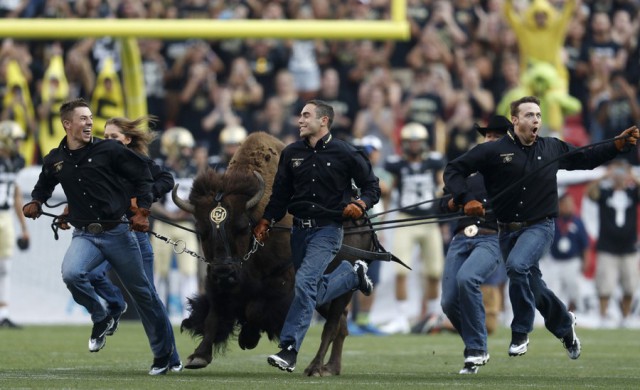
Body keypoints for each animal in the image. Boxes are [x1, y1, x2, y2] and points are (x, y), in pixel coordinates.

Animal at [172, 133, 398, 376]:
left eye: (241, 227)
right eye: (201, 230)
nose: (224, 271)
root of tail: (365, 224)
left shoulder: (281, 285)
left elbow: (255, 310)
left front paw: (248, 338)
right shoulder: (215, 281)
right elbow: (214, 314)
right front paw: (198, 356)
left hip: (339, 293)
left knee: (332, 325)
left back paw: (315, 367)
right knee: (341, 325)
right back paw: (331, 367)